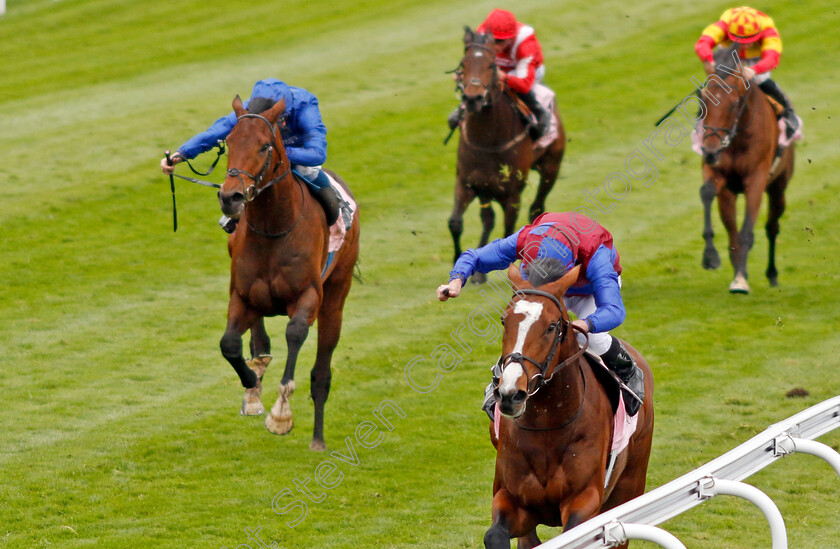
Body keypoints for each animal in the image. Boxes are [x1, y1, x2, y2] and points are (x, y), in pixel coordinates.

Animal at [217, 94, 358, 450]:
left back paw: (318, 439)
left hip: (335, 297)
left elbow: (295, 334)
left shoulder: (308, 296)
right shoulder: (241, 295)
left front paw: (281, 414)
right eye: (228, 142)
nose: (230, 196)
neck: (273, 229)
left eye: (265, 146)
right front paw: (251, 382)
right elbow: (229, 344)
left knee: (322, 373)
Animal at [450, 26, 568, 282]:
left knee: (536, 208)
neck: (488, 139)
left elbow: (508, 233)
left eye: (491, 65)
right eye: (463, 64)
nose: (472, 98)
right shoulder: (466, 183)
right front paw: (460, 262)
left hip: (550, 167)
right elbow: (455, 223)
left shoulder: (512, 194)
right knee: (487, 219)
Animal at [486, 262, 656, 548]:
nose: (511, 394)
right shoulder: (511, 497)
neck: (547, 425)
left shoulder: (585, 500)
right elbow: (495, 534)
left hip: (629, 484)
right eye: (504, 321)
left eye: (551, 326)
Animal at [704, 46, 796, 294]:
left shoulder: (756, 179)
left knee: (772, 227)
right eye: (703, 99)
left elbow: (747, 232)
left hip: (779, 187)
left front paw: (740, 281)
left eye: (734, 103)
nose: (709, 150)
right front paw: (714, 259)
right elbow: (709, 196)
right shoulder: (720, 179)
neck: (738, 138)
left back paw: (772, 274)